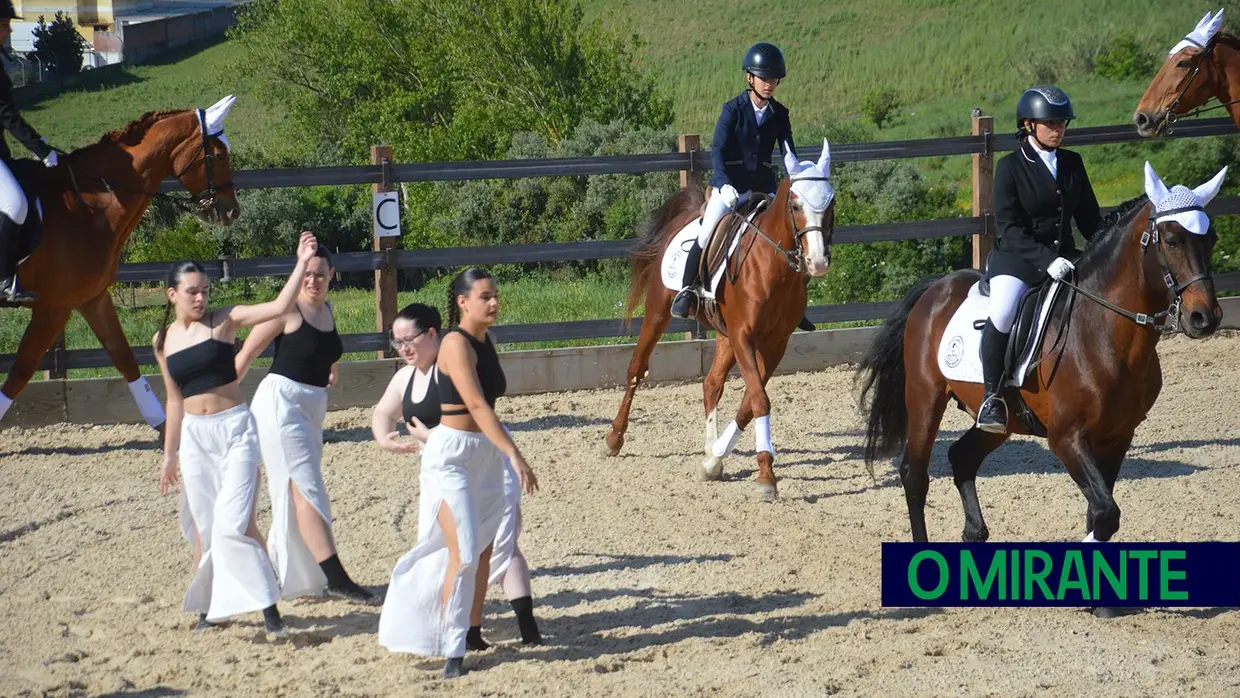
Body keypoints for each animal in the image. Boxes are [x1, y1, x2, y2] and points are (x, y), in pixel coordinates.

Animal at [0, 92, 240, 431]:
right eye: (219, 155)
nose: (232, 211)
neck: (90, 205)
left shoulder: (92, 298)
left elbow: (126, 359)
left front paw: (164, 428)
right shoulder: (53, 308)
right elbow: (20, 372)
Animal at [600, 140, 833, 503]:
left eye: (831, 202)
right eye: (795, 205)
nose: (818, 261)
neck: (773, 269)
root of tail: (690, 213)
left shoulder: (774, 344)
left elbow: (749, 402)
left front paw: (716, 460)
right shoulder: (744, 336)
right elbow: (759, 399)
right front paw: (766, 476)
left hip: (725, 335)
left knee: (711, 383)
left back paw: (712, 450)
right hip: (658, 311)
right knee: (636, 369)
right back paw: (614, 438)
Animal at [858, 162, 1225, 557]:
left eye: (1211, 238)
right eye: (1171, 240)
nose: (1205, 318)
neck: (1106, 332)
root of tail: (935, 289)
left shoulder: (1118, 436)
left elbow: (1099, 517)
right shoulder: (1066, 438)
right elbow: (1106, 515)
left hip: (1002, 421)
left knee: (962, 457)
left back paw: (974, 532)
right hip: (925, 397)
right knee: (915, 474)